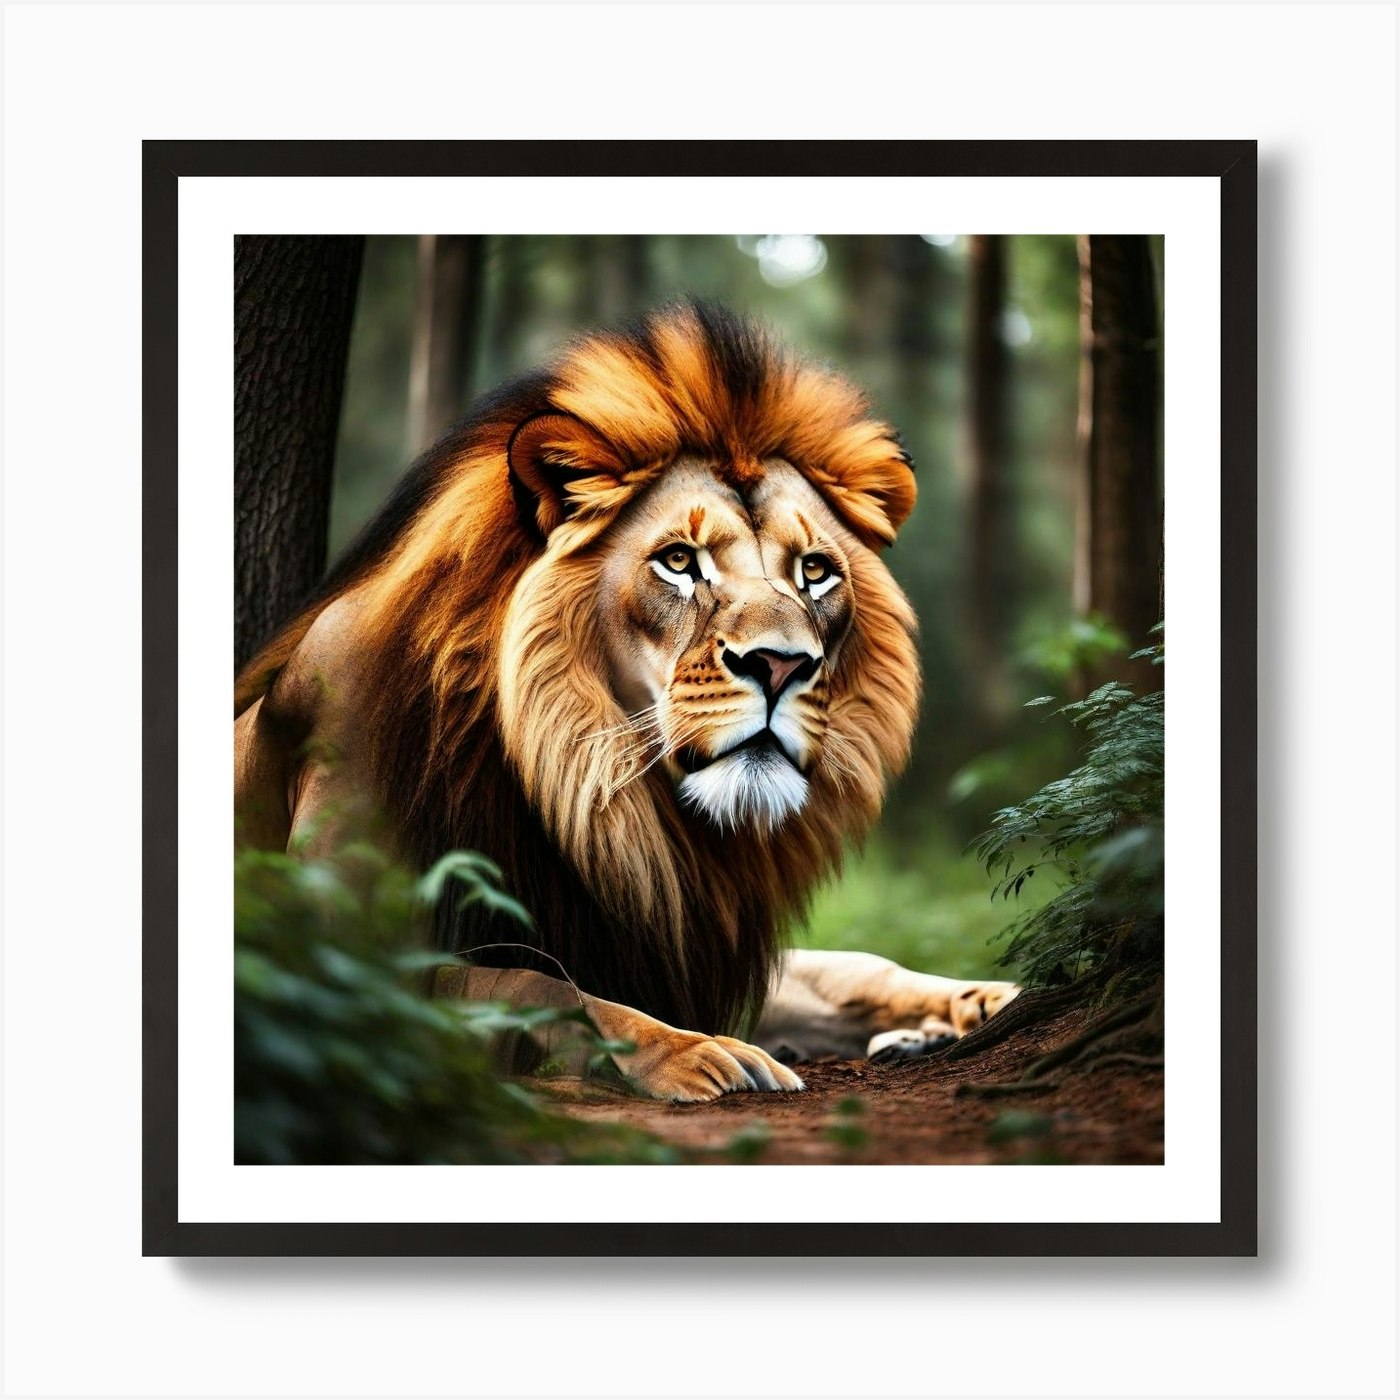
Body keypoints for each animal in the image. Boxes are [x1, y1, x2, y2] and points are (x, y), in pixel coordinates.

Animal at [234, 302, 1017, 1102]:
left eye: (815, 571)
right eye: (678, 561)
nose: (780, 664)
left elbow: (853, 964)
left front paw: (989, 997)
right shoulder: (339, 954)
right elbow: (545, 987)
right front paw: (700, 1052)